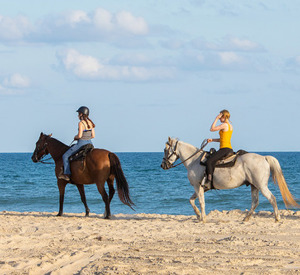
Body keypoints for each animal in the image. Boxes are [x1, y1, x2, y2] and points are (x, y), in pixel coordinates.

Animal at [161, 137, 298, 223]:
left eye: (165, 150)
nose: (163, 165)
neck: (194, 161)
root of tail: (264, 158)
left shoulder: (197, 186)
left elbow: (201, 202)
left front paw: (202, 219)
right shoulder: (201, 188)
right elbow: (191, 200)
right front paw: (199, 216)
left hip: (261, 186)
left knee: (272, 198)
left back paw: (277, 218)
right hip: (254, 186)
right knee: (255, 202)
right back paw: (246, 218)